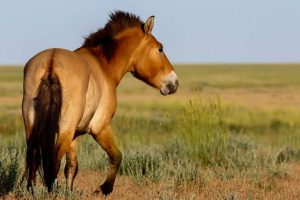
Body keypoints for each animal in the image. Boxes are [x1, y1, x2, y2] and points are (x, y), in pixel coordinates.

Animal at [23, 10, 179, 195]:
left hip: (34, 128)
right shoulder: (100, 127)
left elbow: (71, 167)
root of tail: (50, 62)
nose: (174, 82)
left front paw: (70, 191)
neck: (103, 64)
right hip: (64, 131)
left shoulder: (75, 135)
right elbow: (116, 156)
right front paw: (104, 188)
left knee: (33, 161)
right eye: (160, 49)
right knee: (53, 165)